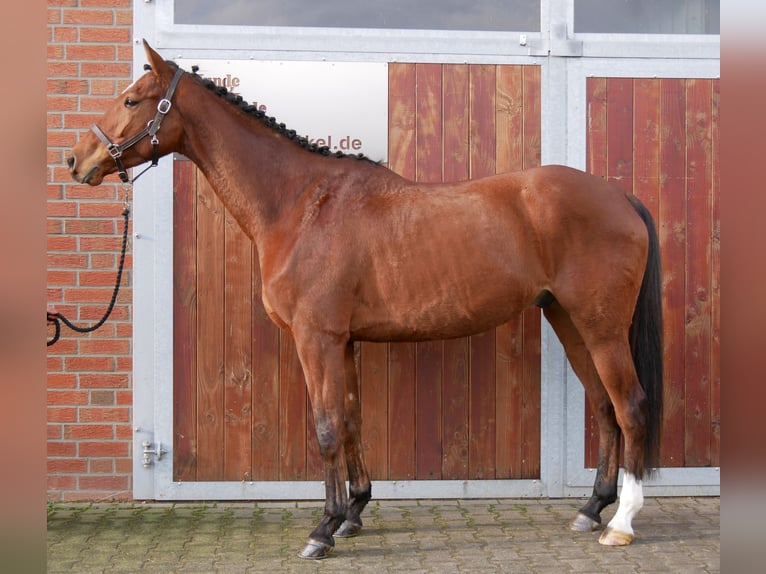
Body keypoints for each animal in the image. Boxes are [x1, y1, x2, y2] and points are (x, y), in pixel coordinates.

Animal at [69, 41, 664, 564]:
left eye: (132, 99)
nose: (77, 159)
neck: (301, 204)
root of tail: (619, 196)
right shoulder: (345, 342)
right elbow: (352, 418)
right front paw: (353, 511)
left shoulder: (318, 339)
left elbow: (327, 426)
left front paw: (323, 529)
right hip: (569, 322)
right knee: (605, 408)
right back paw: (590, 508)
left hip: (601, 327)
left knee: (631, 406)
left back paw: (621, 523)